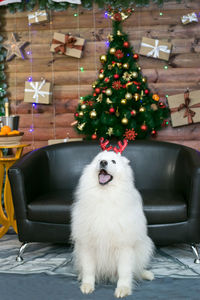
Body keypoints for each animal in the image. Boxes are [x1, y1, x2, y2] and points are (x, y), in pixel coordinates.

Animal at [71, 146, 154, 298]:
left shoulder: (125, 246)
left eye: (113, 161)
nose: (103, 162)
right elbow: (89, 269)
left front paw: (123, 289)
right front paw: (87, 286)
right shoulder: (87, 245)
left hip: (144, 247)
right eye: (99, 159)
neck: (105, 195)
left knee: (136, 270)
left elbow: (124, 272)